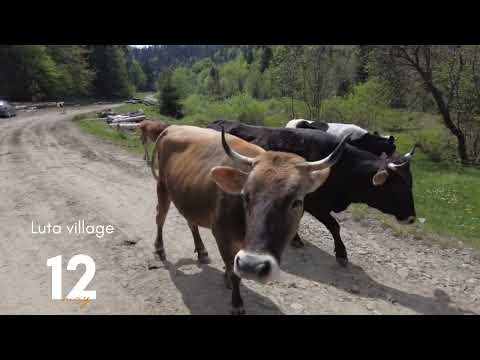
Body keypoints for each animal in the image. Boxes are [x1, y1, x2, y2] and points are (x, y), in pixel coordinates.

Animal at [150, 125, 348, 314]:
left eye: (297, 202)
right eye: (245, 196)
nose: (252, 266)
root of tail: (171, 127)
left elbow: (231, 267)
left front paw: (226, 278)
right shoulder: (221, 235)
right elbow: (233, 270)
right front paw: (236, 301)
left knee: (191, 222)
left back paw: (201, 251)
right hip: (162, 187)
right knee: (160, 217)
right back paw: (159, 248)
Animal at [206, 121, 416, 268]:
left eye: (411, 184)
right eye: (397, 188)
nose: (412, 218)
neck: (343, 166)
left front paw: (295, 238)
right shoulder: (316, 205)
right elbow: (334, 226)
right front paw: (341, 253)